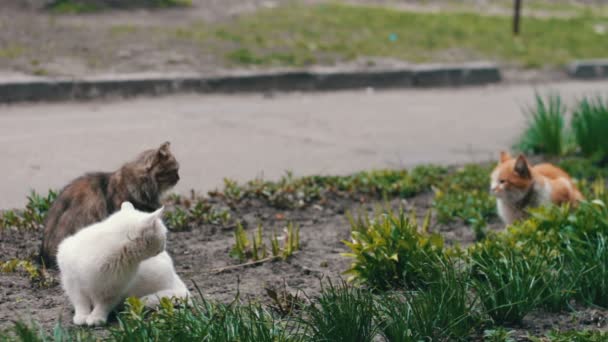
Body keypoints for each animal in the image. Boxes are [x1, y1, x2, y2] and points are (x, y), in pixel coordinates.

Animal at [57, 203, 190, 326]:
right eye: (164, 234)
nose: (164, 248)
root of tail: (175, 276)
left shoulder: (113, 290)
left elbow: (103, 305)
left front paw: (96, 317)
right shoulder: (72, 283)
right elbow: (80, 302)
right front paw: (82, 316)